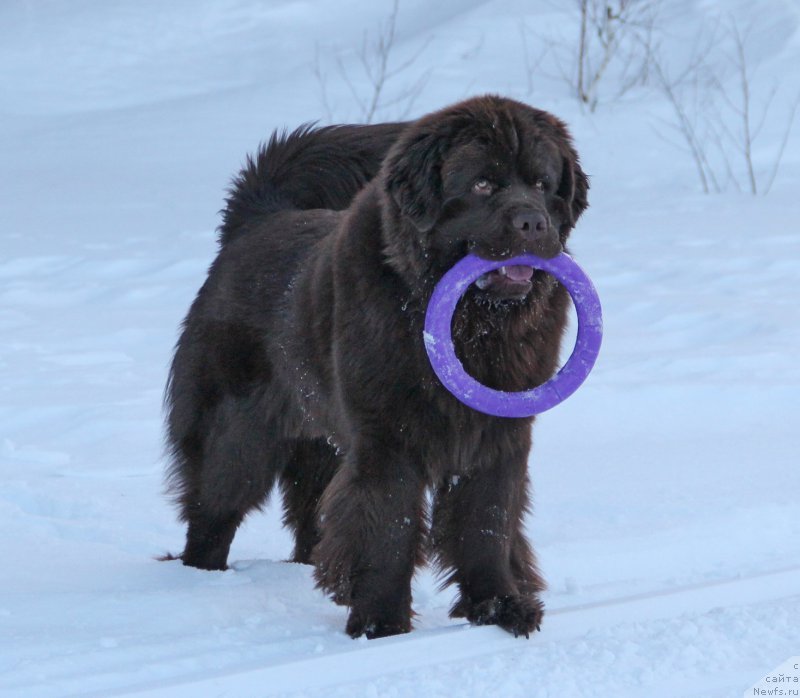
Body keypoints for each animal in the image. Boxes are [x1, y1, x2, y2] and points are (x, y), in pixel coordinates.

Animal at [164, 95, 588, 640]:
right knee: (215, 505)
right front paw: (380, 623)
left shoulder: (498, 436)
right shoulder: (388, 439)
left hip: (321, 441)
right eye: (483, 185)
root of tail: (259, 221)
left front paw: (499, 607)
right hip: (236, 433)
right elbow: (389, 525)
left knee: (313, 513)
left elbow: (488, 521)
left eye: (541, 184)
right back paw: (202, 580)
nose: (532, 222)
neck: (466, 329)